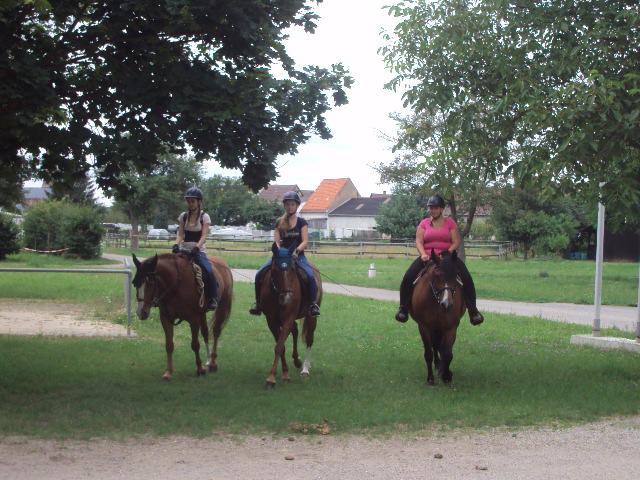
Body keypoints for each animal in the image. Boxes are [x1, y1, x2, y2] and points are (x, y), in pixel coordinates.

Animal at [132, 252, 233, 381]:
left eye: (150, 283)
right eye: (136, 283)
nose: (141, 312)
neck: (176, 285)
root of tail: (223, 263)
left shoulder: (193, 318)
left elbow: (195, 344)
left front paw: (199, 369)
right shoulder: (165, 318)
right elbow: (169, 345)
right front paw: (168, 373)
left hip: (222, 307)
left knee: (216, 332)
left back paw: (213, 363)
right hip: (202, 313)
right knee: (205, 333)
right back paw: (208, 360)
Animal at [260, 243, 322, 389]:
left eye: (293, 269)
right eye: (275, 270)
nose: (287, 298)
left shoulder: (288, 318)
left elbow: (279, 346)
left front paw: (271, 379)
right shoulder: (272, 320)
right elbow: (281, 346)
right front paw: (284, 374)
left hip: (311, 318)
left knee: (309, 339)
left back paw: (305, 369)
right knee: (295, 330)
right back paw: (296, 360)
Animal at [409, 249, 466, 386]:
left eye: (456, 275)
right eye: (436, 275)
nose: (447, 304)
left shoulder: (451, 327)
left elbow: (447, 353)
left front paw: (446, 375)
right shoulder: (424, 327)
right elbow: (429, 353)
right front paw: (430, 378)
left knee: (439, 346)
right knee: (435, 345)